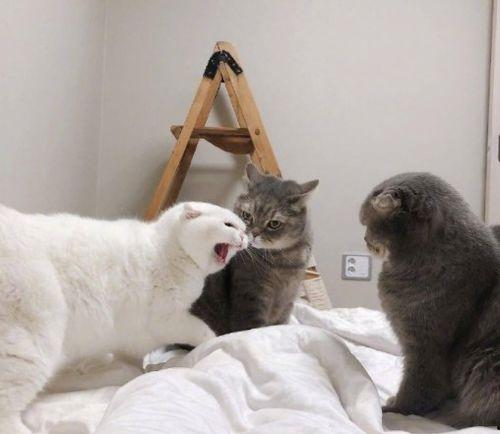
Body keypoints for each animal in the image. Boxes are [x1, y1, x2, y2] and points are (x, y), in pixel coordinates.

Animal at [0, 201, 247, 434]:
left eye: (243, 226)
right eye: (229, 225)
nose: (246, 236)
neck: (166, 249)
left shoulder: (129, 341)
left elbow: (127, 368)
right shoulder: (168, 320)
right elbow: (204, 332)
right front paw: (216, 342)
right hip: (31, 343)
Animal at [190, 163, 318, 336]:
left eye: (274, 223)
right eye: (247, 215)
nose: (254, 234)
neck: (283, 262)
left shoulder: (288, 301)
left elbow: (281, 325)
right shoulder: (250, 296)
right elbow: (254, 330)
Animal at [360, 172, 500, 428]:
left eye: (366, 223)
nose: (365, 238)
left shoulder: (424, 344)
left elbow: (418, 386)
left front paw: (393, 409)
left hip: (486, 362)